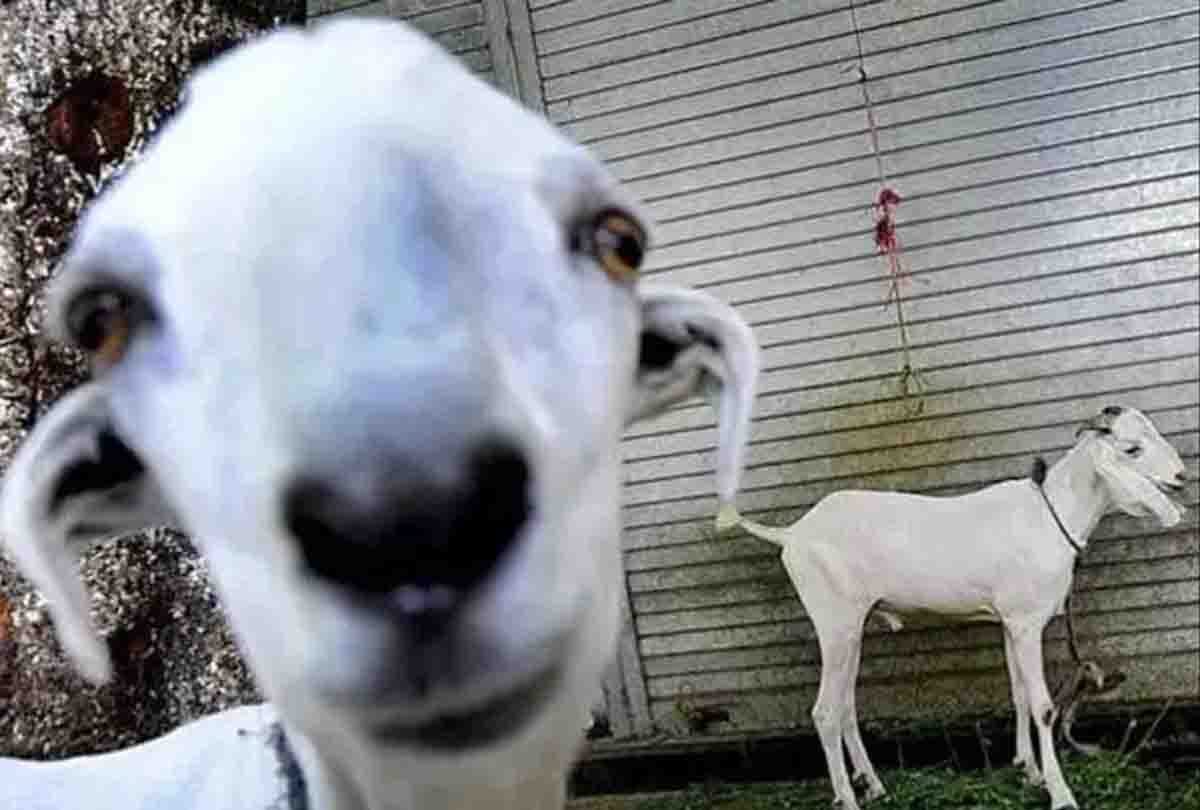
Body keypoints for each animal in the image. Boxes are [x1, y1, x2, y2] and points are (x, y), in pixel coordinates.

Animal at [716, 406, 1190, 810]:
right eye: (1132, 449)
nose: (1181, 476)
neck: (1051, 514)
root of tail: (792, 533)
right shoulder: (1025, 623)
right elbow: (1043, 706)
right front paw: (1061, 795)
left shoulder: (1011, 622)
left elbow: (1019, 694)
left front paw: (1029, 771)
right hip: (834, 622)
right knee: (824, 711)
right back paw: (847, 799)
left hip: (852, 626)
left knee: (845, 705)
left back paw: (875, 785)